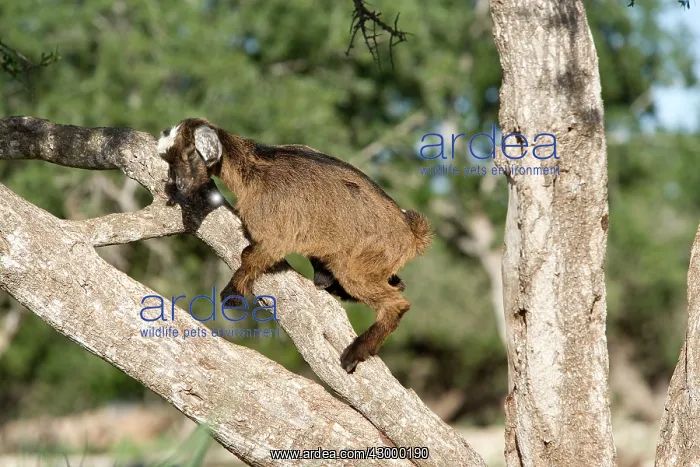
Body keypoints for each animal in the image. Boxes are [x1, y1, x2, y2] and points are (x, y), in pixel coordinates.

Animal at [157, 118, 432, 372]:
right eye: (169, 161)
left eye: (189, 153)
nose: (177, 188)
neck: (253, 169)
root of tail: (411, 234)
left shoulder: (275, 234)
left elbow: (251, 257)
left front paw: (232, 293)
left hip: (359, 264)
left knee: (395, 303)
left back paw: (355, 351)